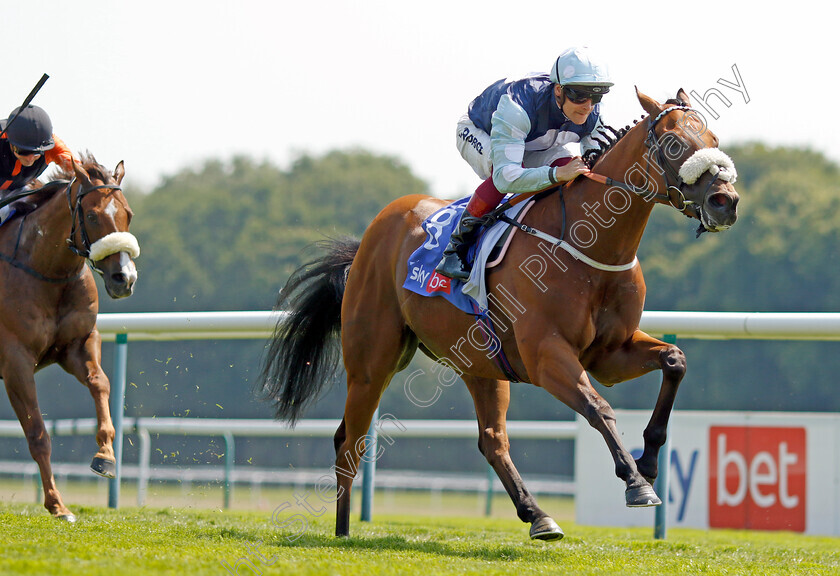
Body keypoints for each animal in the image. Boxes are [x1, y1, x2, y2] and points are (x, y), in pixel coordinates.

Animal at [0, 154, 138, 520]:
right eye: (91, 215)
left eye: (128, 213)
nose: (124, 278)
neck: (46, 272)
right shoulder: (15, 360)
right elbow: (37, 434)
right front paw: (57, 504)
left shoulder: (78, 344)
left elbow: (100, 383)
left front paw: (105, 457)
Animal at [260, 89, 740, 540]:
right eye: (675, 144)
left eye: (715, 140)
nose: (726, 201)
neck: (588, 245)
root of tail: (368, 238)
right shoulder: (546, 355)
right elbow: (599, 408)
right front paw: (636, 482)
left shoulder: (610, 354)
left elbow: (674, 362)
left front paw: (650, 459)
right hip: (372, 361)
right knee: (350, 440)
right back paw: (342, 531)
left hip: (481, 363)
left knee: (492, 440)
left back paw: (538, 515)